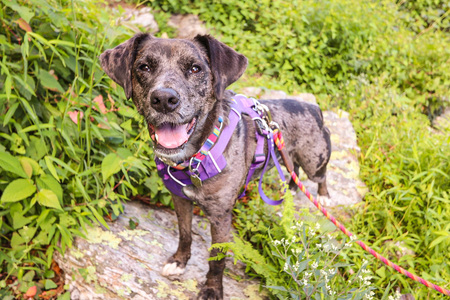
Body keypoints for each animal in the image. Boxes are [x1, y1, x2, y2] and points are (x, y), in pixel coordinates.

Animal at [99, 34, 330, 298]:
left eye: (195, 68)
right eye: (144, 67)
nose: (164, 100)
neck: (195, 158)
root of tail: (314, 107)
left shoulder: (220, 217)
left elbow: (217, 258)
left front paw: (211, 289)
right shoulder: (180, 200)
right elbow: (185, 234)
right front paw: (179, 262)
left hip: (315, 161)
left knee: (319, 175)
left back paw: (323, 196)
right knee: (294, 170)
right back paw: (291, 189)